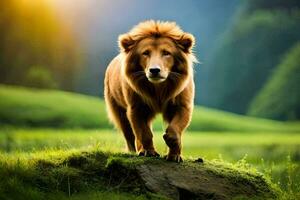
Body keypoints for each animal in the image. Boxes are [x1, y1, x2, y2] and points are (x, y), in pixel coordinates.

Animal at [103, 19, 197, 162]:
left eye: (166, 53)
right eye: (145, 53)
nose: (154, 70)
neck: (158, 88)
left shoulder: (181, 103)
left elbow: (176, 128)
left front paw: (173, 152)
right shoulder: (137, 106)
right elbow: (144, 132)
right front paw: (148, 152)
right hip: (117, 105)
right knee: (128, 133)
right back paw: (135, 151)